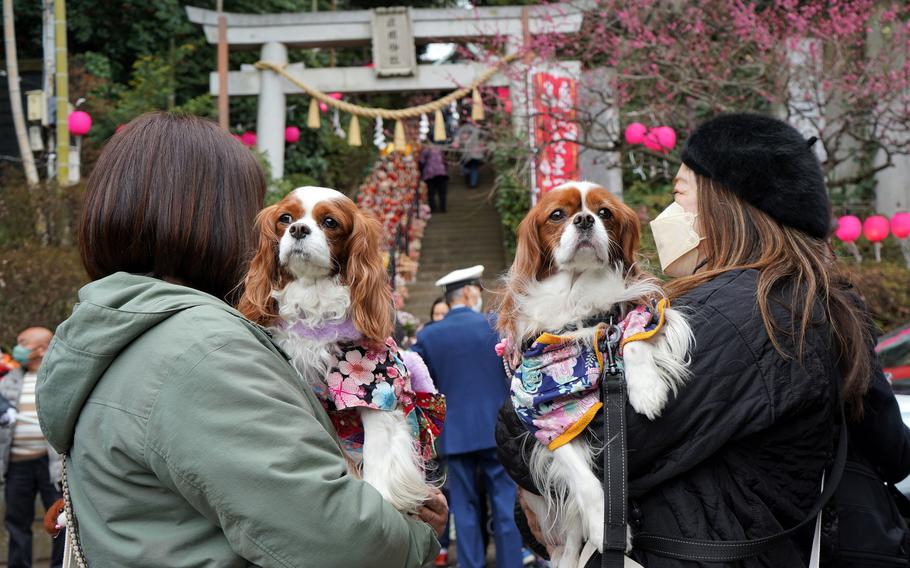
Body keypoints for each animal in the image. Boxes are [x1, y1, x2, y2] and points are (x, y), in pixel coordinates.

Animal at [239, 187, 432, 516]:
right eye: (285, 218)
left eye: (330, 222)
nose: (298, 229)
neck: (312, 296)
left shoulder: (375, 386)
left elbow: (377, 451)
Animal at [498, 183, 692, 568]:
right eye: (557, 214)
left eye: (605, 213)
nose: (585, 220)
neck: (578, 294)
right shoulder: (543, 411)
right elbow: (580, 475)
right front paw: (605, 526)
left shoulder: (635, 317)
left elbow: (630, 335)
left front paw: (647, 391)